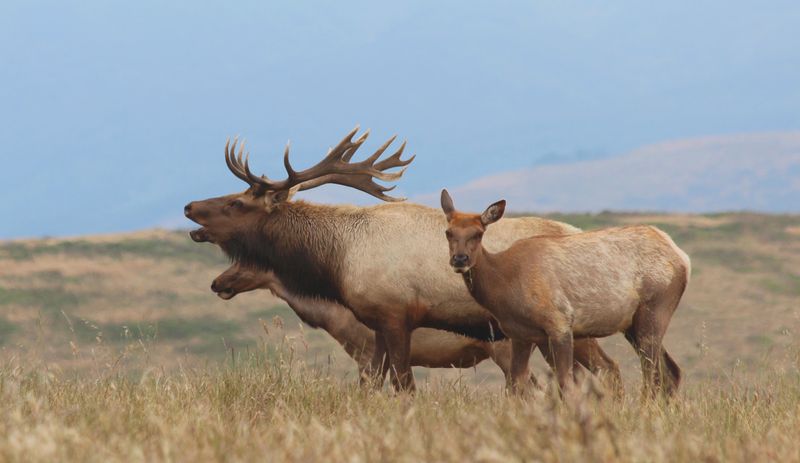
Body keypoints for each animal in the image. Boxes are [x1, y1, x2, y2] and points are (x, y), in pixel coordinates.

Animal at [440, 189, 690, 398]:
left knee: (652, 373)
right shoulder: (520, 335)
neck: (504, 287)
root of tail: (682, 258)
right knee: (670, 370)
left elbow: (565, 383)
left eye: (478, 233)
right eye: (448, 232)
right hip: (632, 324)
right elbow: (516, 386)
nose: (460, 259)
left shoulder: (560, 323)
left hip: (655, 309)